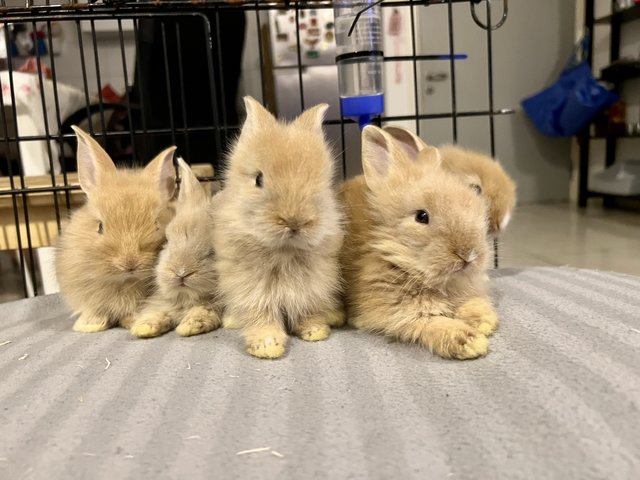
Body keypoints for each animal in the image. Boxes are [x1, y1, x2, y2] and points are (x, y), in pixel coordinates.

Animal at [55, 125, 178, 332]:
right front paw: (89, 325)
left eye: (156, 225)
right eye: (100, 227)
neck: (124, 281)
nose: (130, 263)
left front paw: (133, 321)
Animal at [130, 158, 222, 338]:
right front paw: (144, 328)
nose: (181, 273)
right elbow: (156, 312)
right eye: (167, 240)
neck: (185, 298)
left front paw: (189, 326)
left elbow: (203, 310)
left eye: (213, 250)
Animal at [212, 95, 344, 358]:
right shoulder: (251, 288)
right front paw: (268, 346)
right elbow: (261, 312)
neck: (284, 250)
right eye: (258, 179)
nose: (294, 221)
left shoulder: (312, 282)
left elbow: (305, 305)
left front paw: (315, 330)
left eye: (322, 183)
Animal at [340, 126, 500, 360]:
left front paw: (484, 322)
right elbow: (427, 322)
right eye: (421, 216)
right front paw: (470, 341)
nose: (468, 254)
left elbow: (473, 302)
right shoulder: (394, 310)